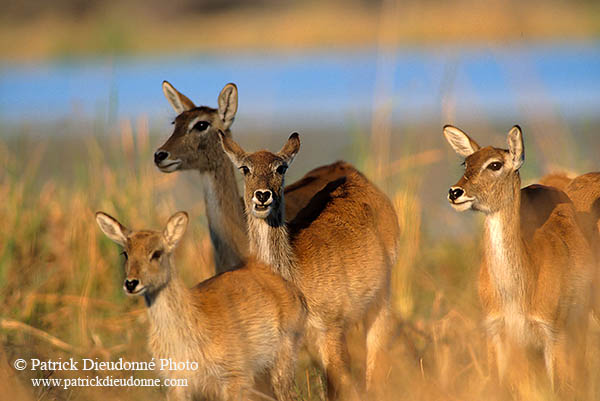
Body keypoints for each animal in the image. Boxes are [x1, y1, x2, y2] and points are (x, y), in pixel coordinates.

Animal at [96, 211, 308, 398]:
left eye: (156, 253)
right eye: (125, 253)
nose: (131, 283)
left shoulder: (235, 375)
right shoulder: (176, 381)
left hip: (285, 353)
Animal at [217, 133, 398, 398]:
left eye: (280, 167)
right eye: (245, 168)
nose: (262, 195)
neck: (294, 274)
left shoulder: (331, 328)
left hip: (382, 295)